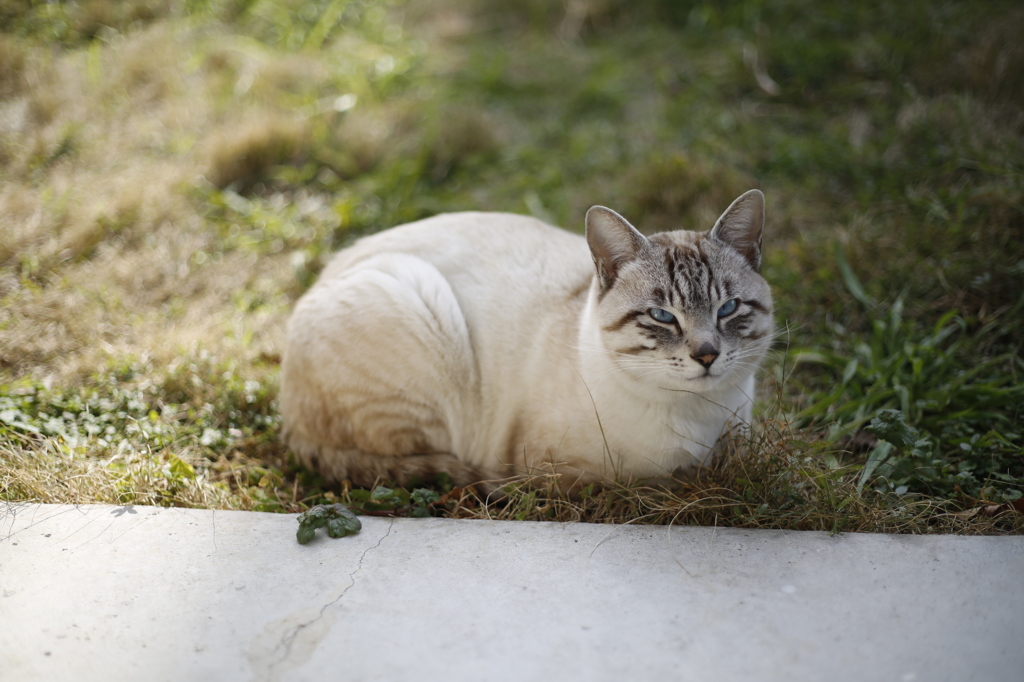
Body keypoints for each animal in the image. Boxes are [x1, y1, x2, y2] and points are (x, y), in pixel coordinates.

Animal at [276, 188, 770, 491]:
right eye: (662, 316)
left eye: (728, 309)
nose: (706, 355)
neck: (699, 420)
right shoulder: (567, 472)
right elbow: (657, 480)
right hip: (417, 300)